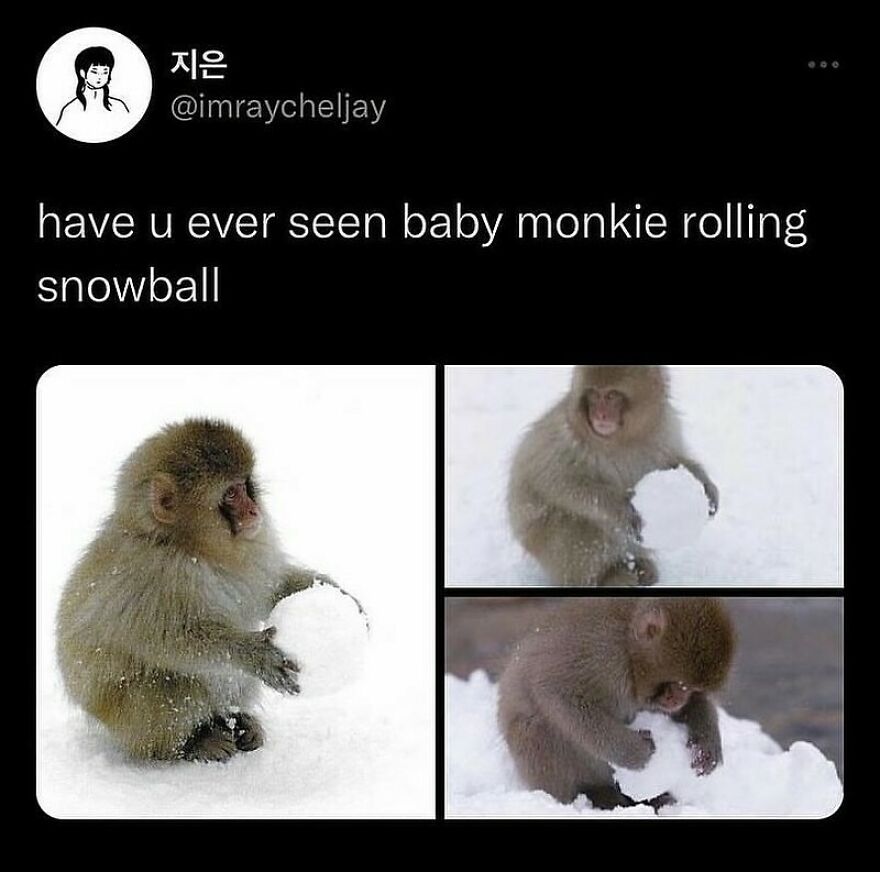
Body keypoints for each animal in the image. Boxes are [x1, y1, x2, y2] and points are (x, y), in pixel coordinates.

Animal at [56, 418, 365, 763]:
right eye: (230, 494)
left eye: (245, 486)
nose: (253, 511)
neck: (191, 548)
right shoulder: (155, 574)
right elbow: (171, 639)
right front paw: (254, 654)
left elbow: (269, 588)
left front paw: (340, 596)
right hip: (128, 719)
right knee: (170, 687)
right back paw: (194, 741)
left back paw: (235, 720)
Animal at [498, 597, 735, 809]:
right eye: (679, 684)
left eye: (691, 688)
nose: (678, 699)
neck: (628, 646)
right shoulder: (603, 654)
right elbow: (557, 692)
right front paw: (636, 751)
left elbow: (693, 706)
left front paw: (706, 745)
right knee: (533, 728)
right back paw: (596, 796)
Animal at [507, 365, 719, 586]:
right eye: (593, 394)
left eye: (611, 395)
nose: (600, 415)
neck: (619, 441)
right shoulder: (561, 438)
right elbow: (558, 483)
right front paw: (625, 509)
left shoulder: (665, 428)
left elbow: (672, 459)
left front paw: (707, 485)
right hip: (543, 546)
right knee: (581, 524)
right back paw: (606, 576)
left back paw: (640, 566)